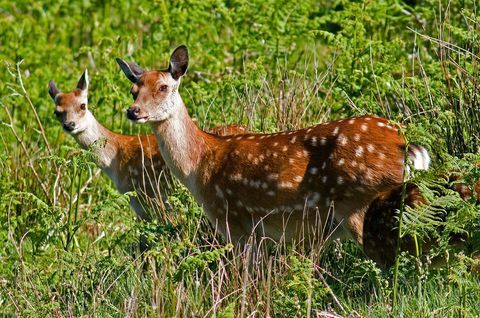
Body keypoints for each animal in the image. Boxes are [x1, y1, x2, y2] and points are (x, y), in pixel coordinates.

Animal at [116, 45, 432, 246]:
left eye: (163, 87)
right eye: (133, 90)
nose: (133, 111)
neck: (200, 165)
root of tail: (403, 143)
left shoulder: (233, 220)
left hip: (358, 201)